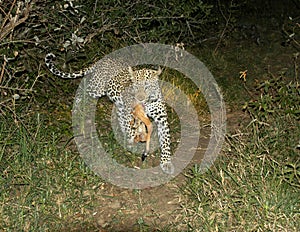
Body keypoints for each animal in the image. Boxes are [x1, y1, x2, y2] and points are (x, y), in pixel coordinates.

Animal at [45, 53, 175, 174]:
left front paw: (166, 162)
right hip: (97, 88)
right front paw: (132, 142)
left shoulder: (162, 119)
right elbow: (131, 129)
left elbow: (165, 141)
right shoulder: (129, 112)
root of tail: (103, 59)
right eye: (135, 85)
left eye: (147, 86)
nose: (139, 98)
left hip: (117, 103)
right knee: (83, 90)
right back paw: (76, 105)